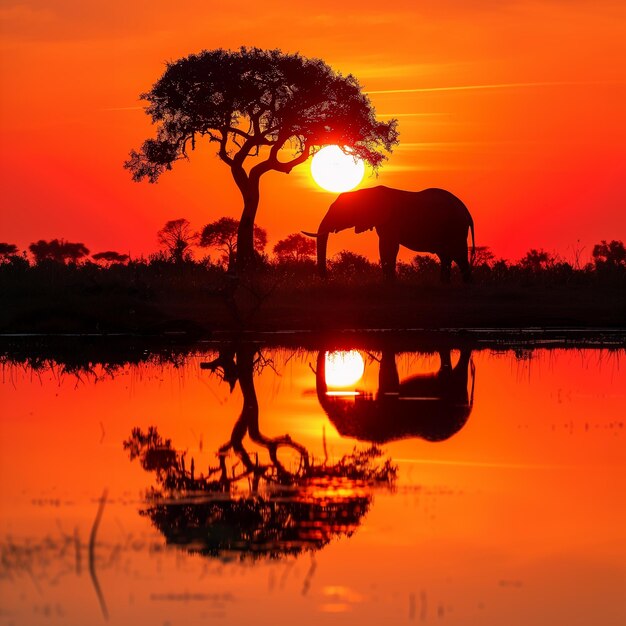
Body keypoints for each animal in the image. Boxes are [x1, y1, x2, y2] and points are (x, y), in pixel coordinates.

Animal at [302, 183, 472, 280]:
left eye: (340, 212)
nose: (327, 279)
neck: (365, 192)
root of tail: (466, 210)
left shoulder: (391, 221)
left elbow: (387, 247)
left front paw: (389, 284)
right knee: (446, 257)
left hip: (456, 228)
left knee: (459, 256)